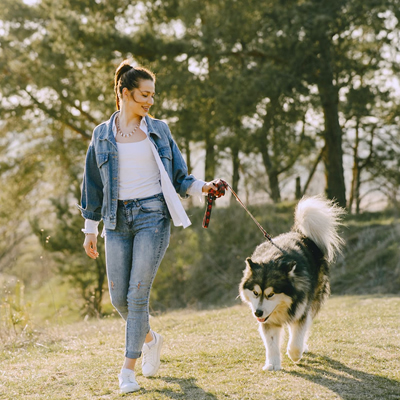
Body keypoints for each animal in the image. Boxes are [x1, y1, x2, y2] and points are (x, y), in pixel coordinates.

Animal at [239, 195, 346, 370]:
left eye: (271, 294)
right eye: (255, 293)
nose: (258, 313)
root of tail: (299, 234)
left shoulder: (301, 312)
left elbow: (296, 339)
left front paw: (295, 354)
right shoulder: (269, 321)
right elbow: (271, 343)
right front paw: (273, 363)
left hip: (312, 300)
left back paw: (303, 347)